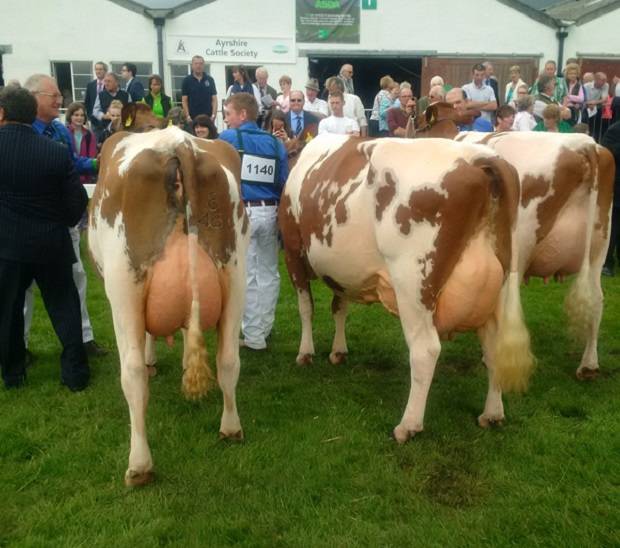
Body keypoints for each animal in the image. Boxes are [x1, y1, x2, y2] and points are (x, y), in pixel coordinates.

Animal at [89, 127, 249, 484]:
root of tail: (178, 143)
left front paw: (152, 359)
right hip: (235, 272)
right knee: (228, 360)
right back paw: (231, 428)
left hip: (123, 285)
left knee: (132, 374)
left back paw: (139, 466)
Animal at [278, 135, 536, 438]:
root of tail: (478, 158)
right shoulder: (339, 272)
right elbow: (339, 306)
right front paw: (339, 350)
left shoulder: (292, 251)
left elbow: (306, 307)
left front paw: (305, 353)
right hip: (502, 282)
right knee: (494, 348)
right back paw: (492, 414)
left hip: (412, 283)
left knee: (425, 350)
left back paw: (408, 425)